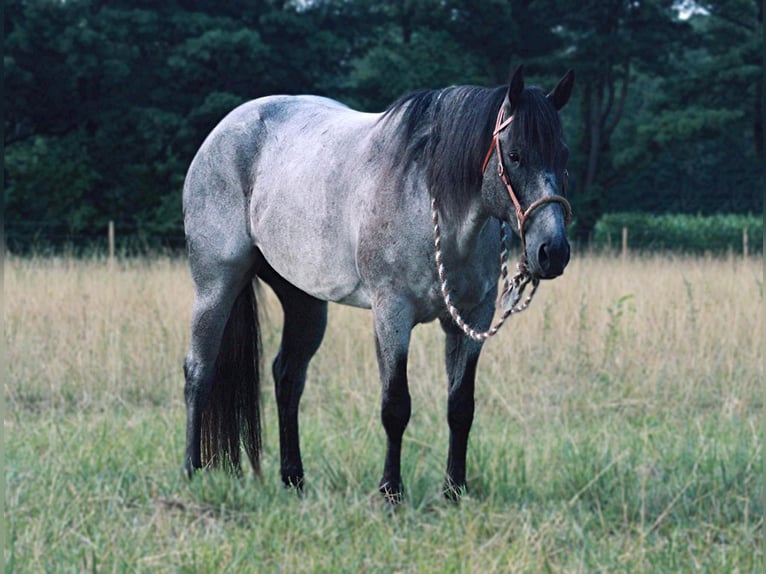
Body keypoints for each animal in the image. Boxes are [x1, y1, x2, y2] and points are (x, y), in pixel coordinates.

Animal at [183, 64, 572, 504]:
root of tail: (222, 132)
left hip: (304, 301)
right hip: (216, 284)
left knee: (288, 377)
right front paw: (390, 492)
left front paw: (454, 490)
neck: (431, 203)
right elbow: (396, 405)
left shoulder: (471, 317)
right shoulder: (392, 314)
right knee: (199, 370)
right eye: (517, 154)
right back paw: (192, 471)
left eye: (563, 154)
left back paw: (294, 479)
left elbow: (460, 406)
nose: (552, 251)